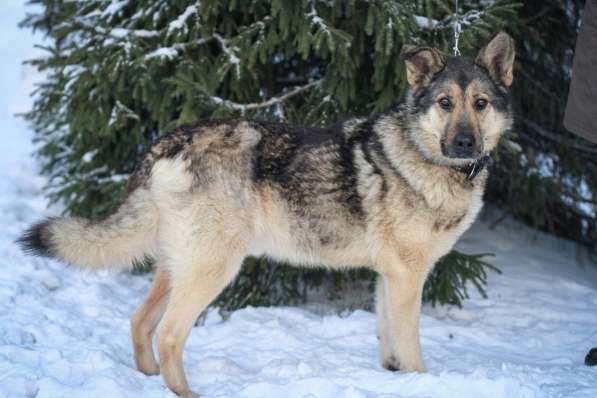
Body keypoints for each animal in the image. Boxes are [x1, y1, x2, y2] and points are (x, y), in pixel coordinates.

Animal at [18, 32, 512, 396]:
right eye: (445, 103)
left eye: (480, 104)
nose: (465, 143)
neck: (427, 160)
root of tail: (168, 141)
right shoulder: (407, 277)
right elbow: (410, 348)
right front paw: (420, 383)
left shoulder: (388, 277)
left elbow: (389, 344)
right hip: (215, 268)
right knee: (169, 334)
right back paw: (186, 392)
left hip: (178, 265)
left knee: (140, 322)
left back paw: (148, 380)